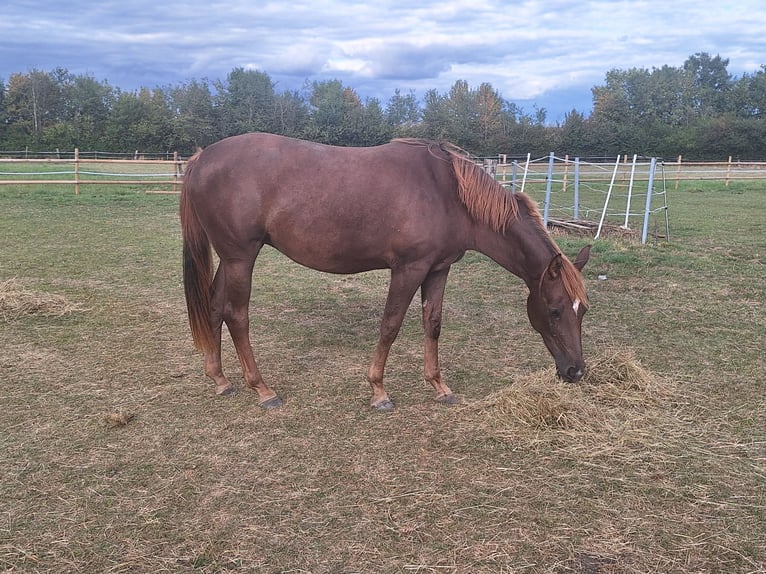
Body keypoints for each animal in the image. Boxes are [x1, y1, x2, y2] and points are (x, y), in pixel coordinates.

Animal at [180, 133, 590, 411]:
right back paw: (262, 389)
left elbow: (432, 323)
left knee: (214, 308)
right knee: (236, 315)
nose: (575, 372)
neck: (448, 194)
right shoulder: (408, 269)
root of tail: (202, 158)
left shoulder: (438, 269)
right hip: (240, 258)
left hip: (231, 259)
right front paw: (378, 390)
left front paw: (439, 386)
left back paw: (220, 379)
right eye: (555, 310)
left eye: (582, 310)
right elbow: (390, 325)